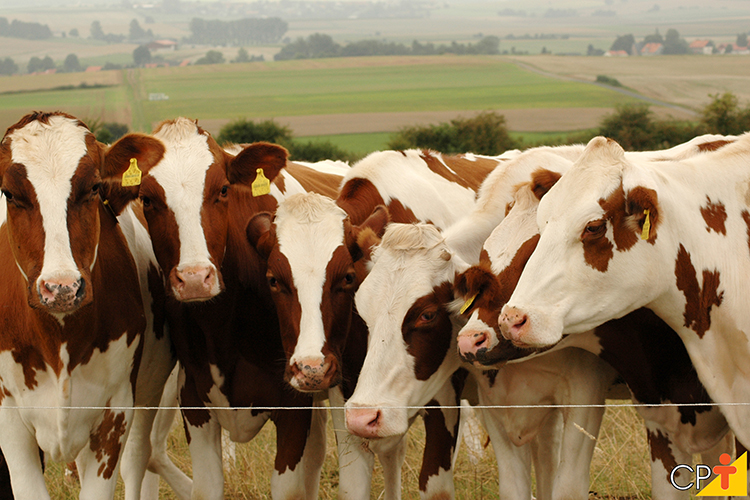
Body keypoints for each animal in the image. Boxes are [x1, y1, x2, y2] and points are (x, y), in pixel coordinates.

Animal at [0, 111, 184, 498]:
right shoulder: (9, 419)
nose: (61, 288)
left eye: (94, 187)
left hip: (148, 392)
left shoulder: (113, 413)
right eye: (10, 193)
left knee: (139, 459)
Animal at [100, 117, 350, 500]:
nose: (194, 278)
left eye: (222, 190)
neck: (225, 326)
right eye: (148, 199)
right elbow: (205, 487)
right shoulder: (194, 401)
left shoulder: (293, 405)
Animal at [247, 148, 512, 500]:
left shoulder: (443, 400)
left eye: (347, 277)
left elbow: (435, 487)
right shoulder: (350, 405)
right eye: (274, 280)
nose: (310, 369)